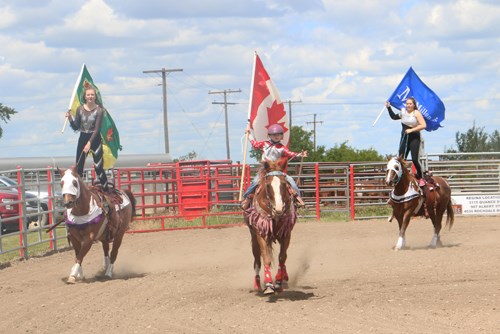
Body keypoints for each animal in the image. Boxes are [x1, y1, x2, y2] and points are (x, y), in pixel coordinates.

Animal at [242, 158, 296, 294]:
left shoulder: (286, 234)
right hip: (254, 239)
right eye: (267, 185)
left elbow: (282, 258)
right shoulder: (261, 235)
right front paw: (268, 284)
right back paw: (257, 284)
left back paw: (284, 277)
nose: (279, 209)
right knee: (257, 260)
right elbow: (266, 258)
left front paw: (278, 281)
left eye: (284, 184)